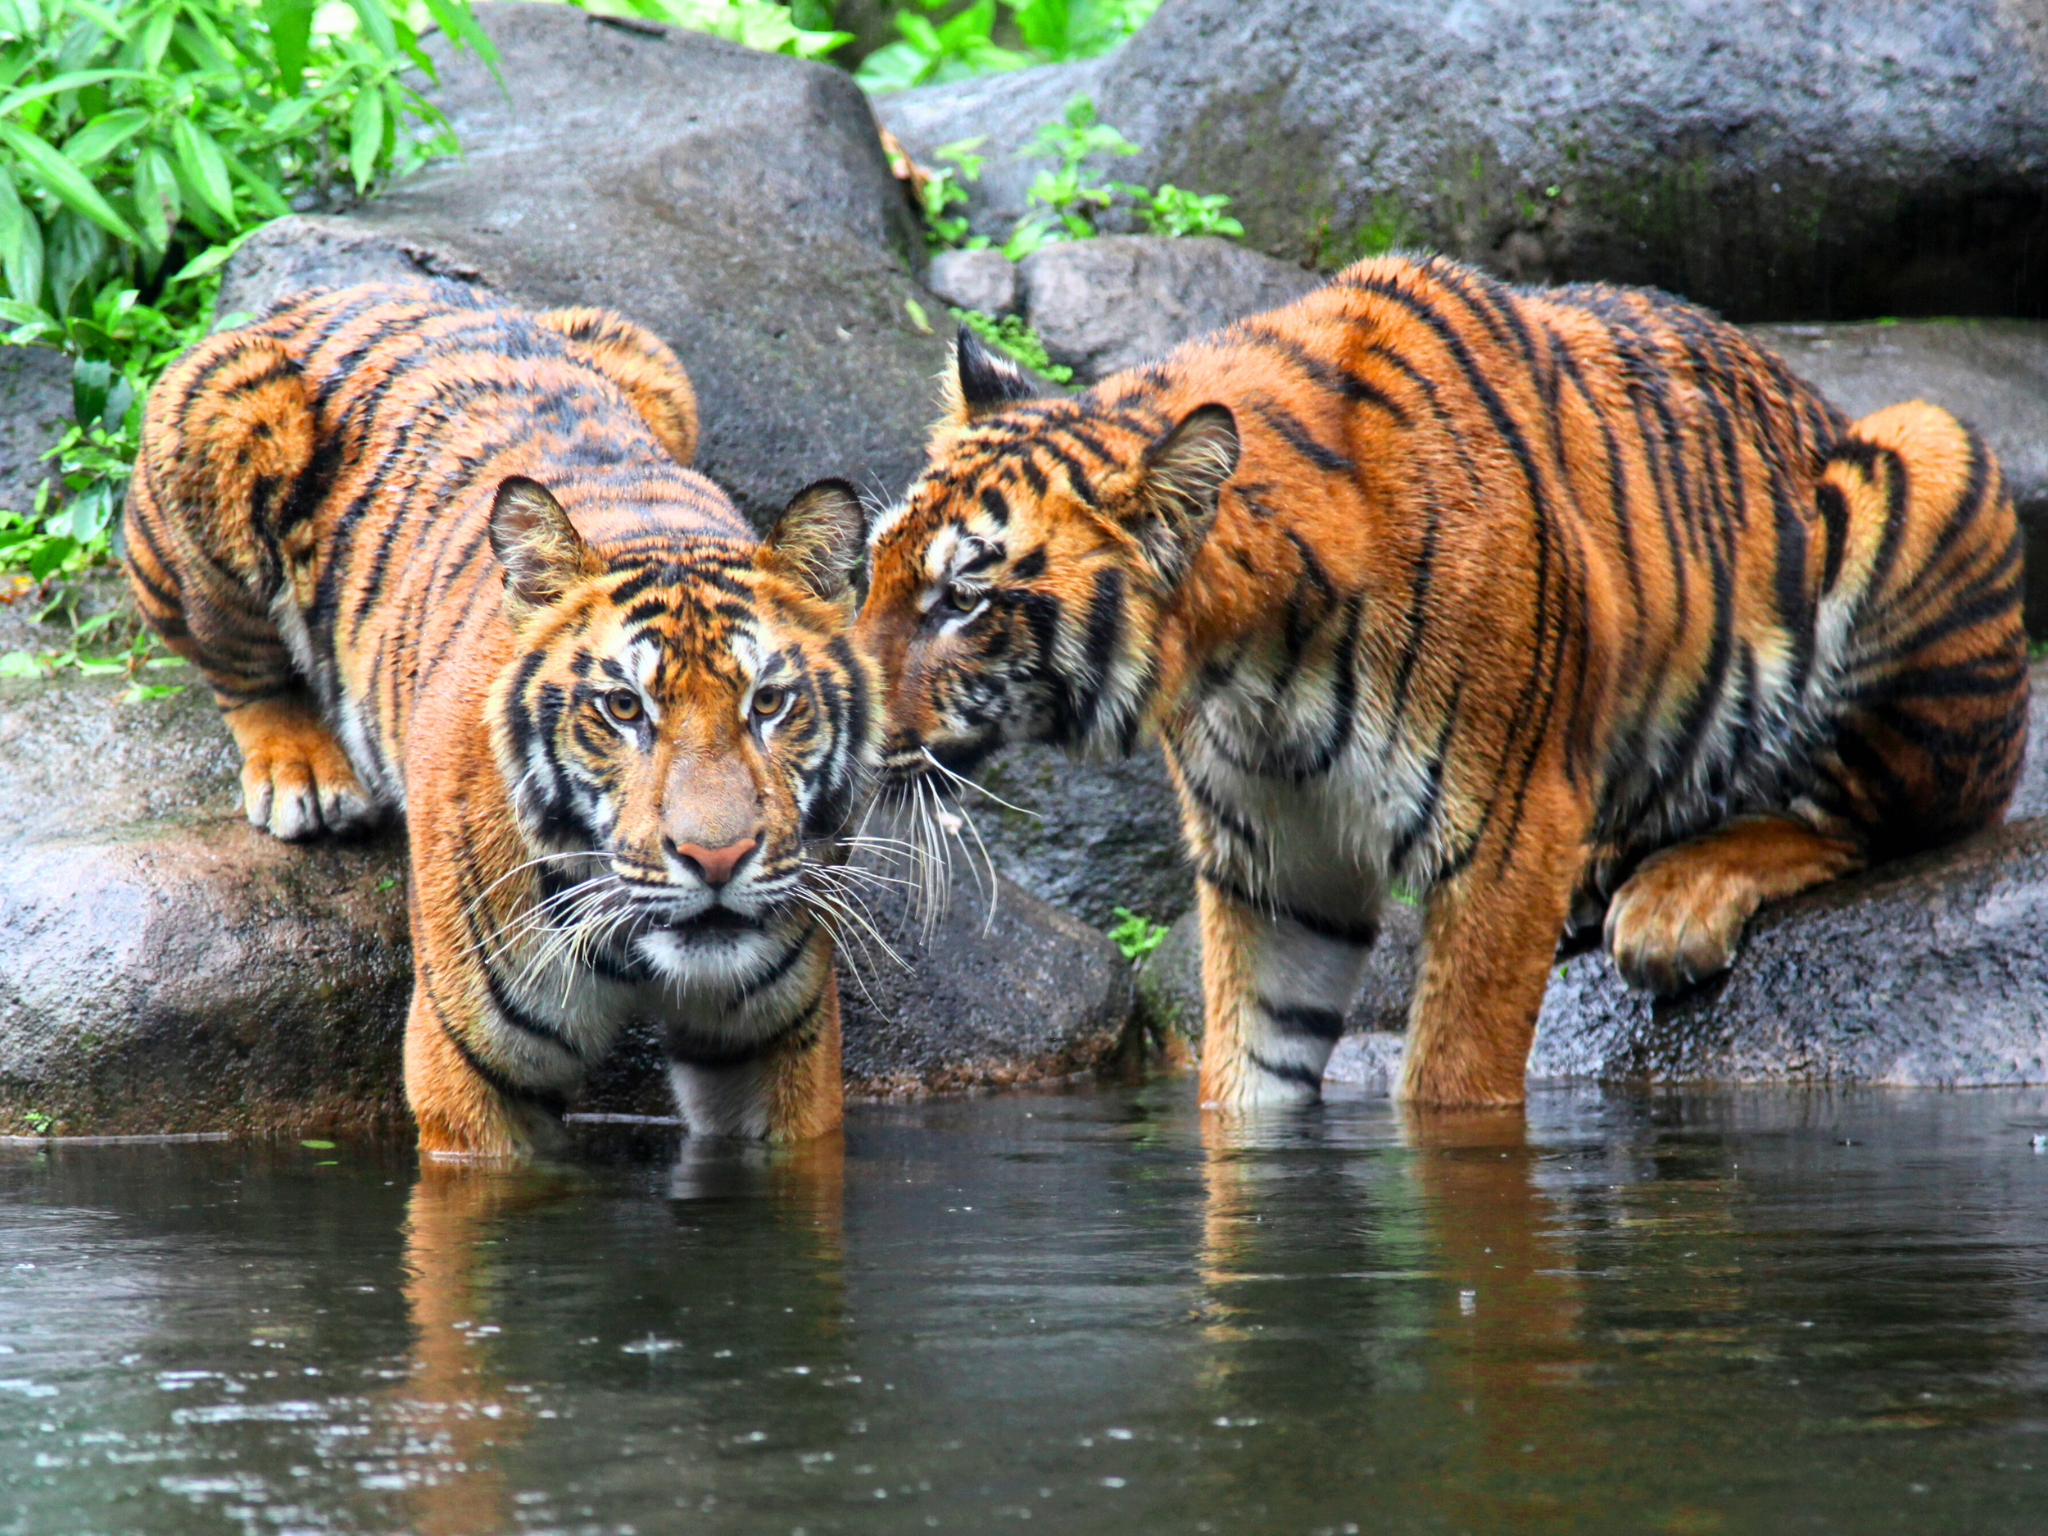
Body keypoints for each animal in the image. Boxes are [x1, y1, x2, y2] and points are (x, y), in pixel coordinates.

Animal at [123, 282, 879, 1157]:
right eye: (624, 707)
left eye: (769, 703)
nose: (715, 859)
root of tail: (338, 289)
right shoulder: (473, 1068)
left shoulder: (777, 1044)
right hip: (218, 411)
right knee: (238, 665)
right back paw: (303, 775)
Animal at [783, 252, 2027, 1110]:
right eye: (878, 573)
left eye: (962, 601)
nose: (835, 722)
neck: (1250, 668)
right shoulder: (1272, 865)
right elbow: (1245, 1078)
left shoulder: (1506, 835)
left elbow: (1451, 1082)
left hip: (1924, 450)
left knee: (1886, 815)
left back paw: (1675, 899)